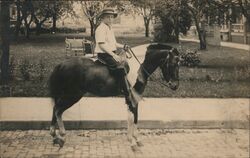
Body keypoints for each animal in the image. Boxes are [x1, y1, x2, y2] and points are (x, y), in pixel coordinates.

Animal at [47, 43, 180, 149]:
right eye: (173, 64)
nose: (175, 85)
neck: (138, 68)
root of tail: (61, 65)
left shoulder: (131, 97)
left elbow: (131, 117)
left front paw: (132, 139)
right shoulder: (133, 96)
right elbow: (134, 117)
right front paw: (134, 141)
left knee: (54, 109)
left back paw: (54, 136)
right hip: (73, 95)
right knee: (58, 110)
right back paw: (62, 136)